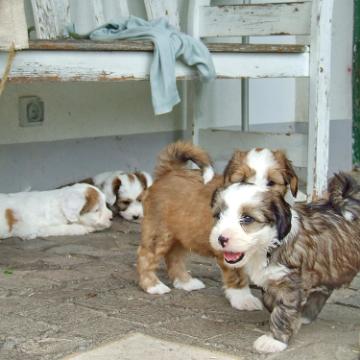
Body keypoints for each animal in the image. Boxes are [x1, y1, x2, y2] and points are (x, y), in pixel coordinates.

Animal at [137, 141, 298, 312]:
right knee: (145, 256)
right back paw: (153, 285)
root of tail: (169, 171)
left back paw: (186, 282)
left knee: (173, 256)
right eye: (241, 180)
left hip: (182, 234)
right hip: (159, 232)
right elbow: (237, 273)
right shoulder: (229, 247)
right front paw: (243, 299)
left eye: (271, 183)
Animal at [210, 173, 360, 352]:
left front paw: (274, 340)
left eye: (247, 218)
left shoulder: (290, 283)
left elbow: (283, 311)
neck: (268, 246)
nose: (221, 239)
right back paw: (306, 314)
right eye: (218, 216)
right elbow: (269, 300)